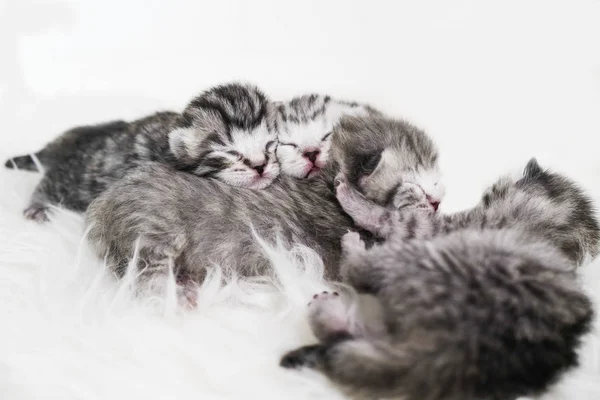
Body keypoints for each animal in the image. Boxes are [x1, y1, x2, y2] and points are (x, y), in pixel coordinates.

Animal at [5, 81, 278, 222]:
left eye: (269, 145)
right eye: (229, 152)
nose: (260, 166)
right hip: (76, 178)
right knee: (52, 180)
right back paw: (38, 204)